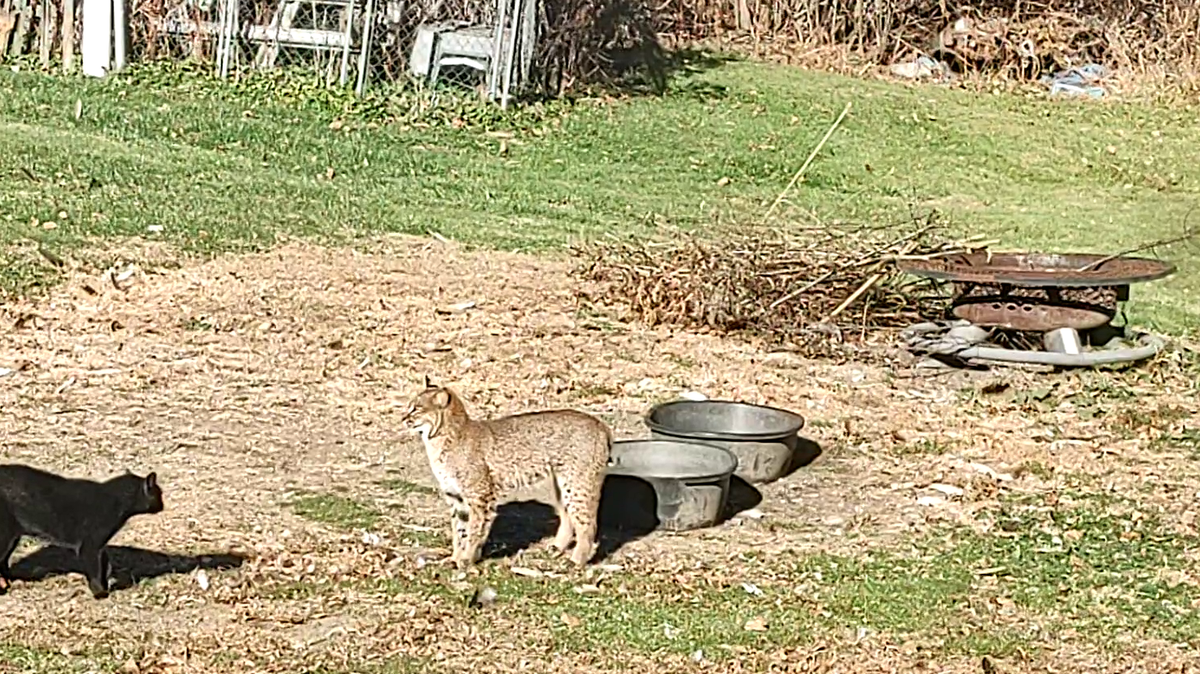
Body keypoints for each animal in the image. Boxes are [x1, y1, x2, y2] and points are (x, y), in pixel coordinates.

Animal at [0, 460, 164, 597]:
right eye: (159, 494)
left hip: (13, 537)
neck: (116, 501)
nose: (163, 505)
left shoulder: (99, 546)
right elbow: (95, 569)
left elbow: (104, 564)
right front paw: (100, 593)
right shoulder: (90, 545)